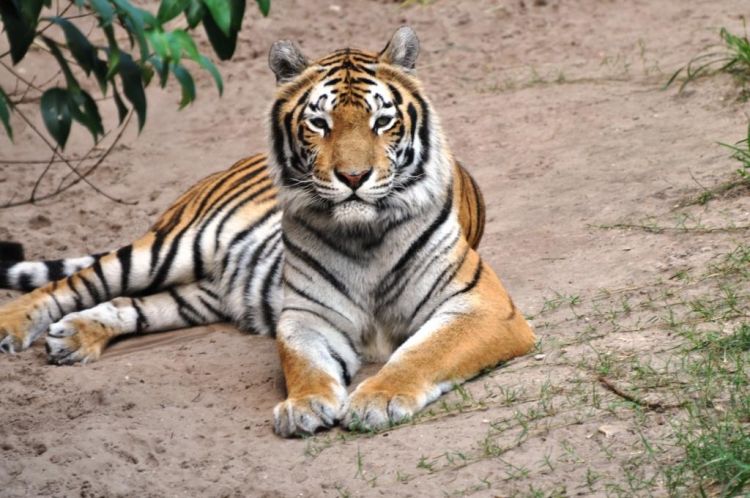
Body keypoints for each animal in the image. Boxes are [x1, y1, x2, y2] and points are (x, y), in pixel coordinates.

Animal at [1, 28, 540, 436]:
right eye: (319, 123)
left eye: (382, 121)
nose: (353, 177)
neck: (365, 236)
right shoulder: (308, 315)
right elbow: (305, 363)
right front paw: (304, 406)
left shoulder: (484, 308)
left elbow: (423, 353)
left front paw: (377, 400)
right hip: (168, 249)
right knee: (73, 282)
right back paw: (14, 327)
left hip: (199, 295)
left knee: (128, 304)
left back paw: (74, 337)